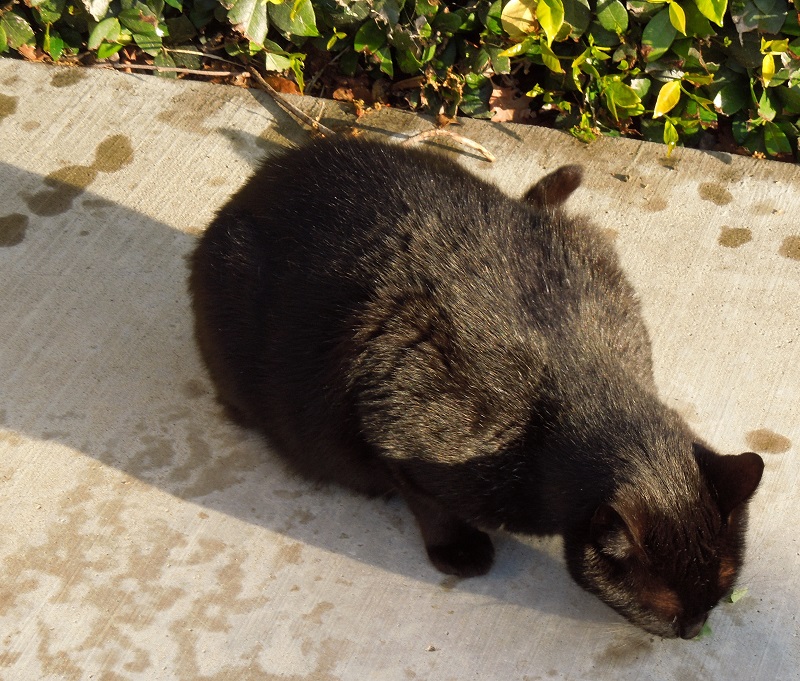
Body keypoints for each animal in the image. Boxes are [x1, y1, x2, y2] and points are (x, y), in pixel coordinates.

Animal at [188, 138, 764, 636]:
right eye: (666, 611)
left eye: (717, 595)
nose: (693, 631)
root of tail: (261, 179)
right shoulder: (398, 421)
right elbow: (426, 499)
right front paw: (459, 550)